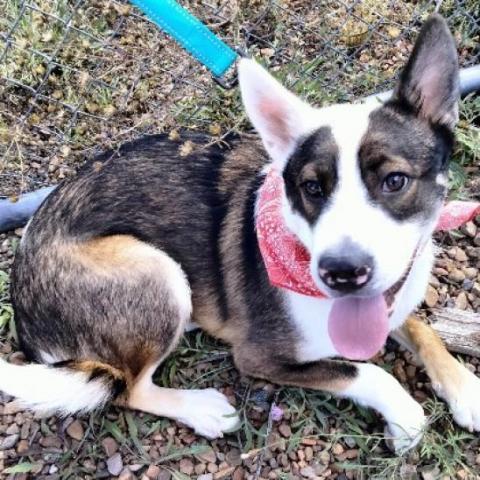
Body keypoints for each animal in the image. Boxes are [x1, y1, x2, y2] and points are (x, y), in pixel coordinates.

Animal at [0, 13, 480, 452]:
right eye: (312, 187)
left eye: (395, 181)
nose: (342, 273)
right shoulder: (260, 356)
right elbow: (364, 371)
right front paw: (403, 415)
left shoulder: (391, 300)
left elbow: (423, 328)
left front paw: (465, 388)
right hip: (156, 270)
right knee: (126, 389)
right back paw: (202, 409)